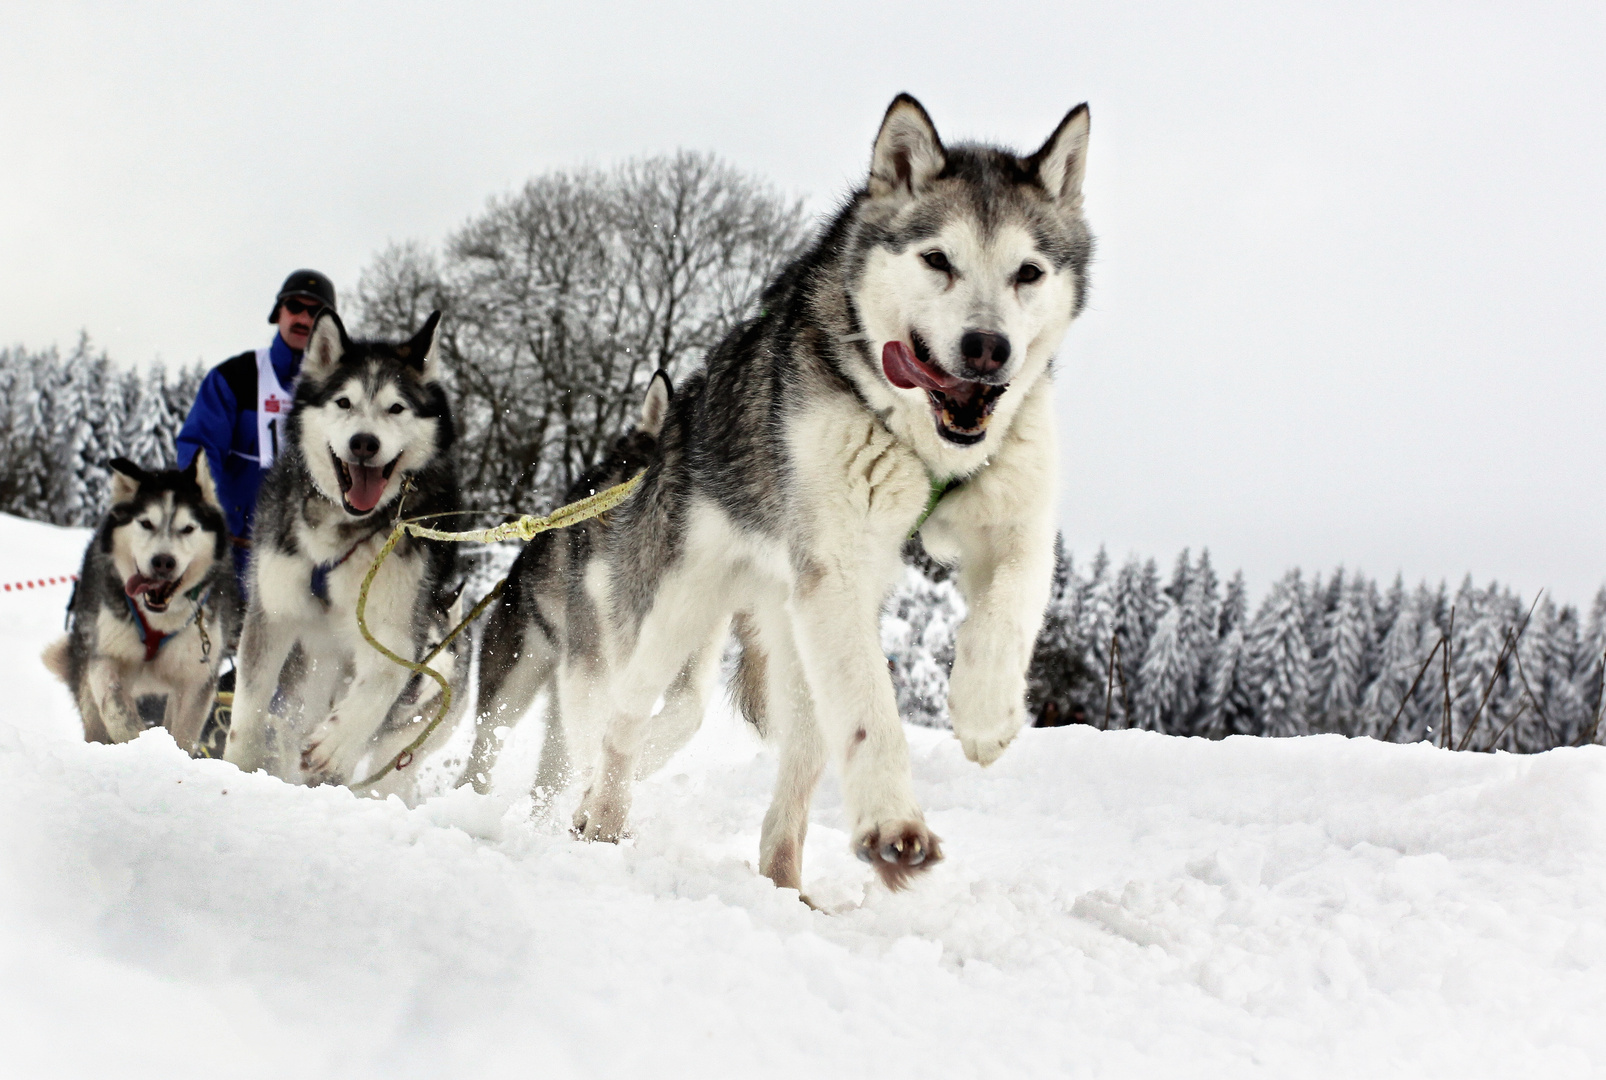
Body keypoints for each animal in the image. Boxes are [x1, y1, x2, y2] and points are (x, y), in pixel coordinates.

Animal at [43, 453, 240, 752]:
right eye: (146, 523)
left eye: (188, 528)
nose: (163, 561)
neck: (160, 619)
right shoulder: (106, 659)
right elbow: (118, 711)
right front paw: (140, 742)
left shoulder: (196, 679)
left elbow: (184, 733)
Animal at [478, 94, 1092, 893]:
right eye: (938, 260)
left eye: (1028, 272)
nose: (989, 349)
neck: (921, 436)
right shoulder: (836, 565)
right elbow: (873, 709)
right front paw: (894, 826)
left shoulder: (1014, 518)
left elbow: (1011, 602)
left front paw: (985, 710)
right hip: (670, 618)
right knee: (620, 720)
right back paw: (603, 812)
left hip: (796, 641)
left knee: (800, 758)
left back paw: (784, 882)